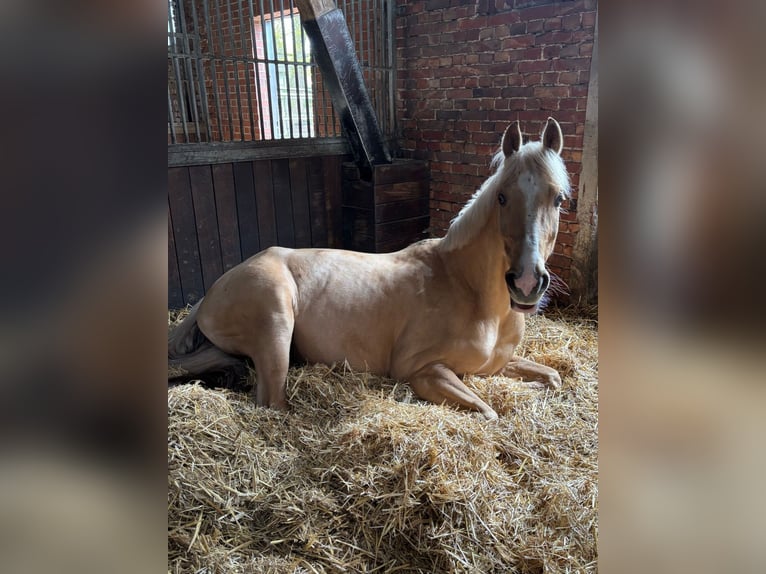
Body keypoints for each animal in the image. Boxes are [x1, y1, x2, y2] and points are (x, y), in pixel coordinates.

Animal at [169, 118, 570, 420]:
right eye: (502, 197)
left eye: (558, 199)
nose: (526, 282)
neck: (472, 295)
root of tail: (213, 292)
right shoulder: (420, 370)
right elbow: (489, 412)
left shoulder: (495, 363)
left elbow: (552, 377)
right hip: (275, 327)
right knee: (272, 402)